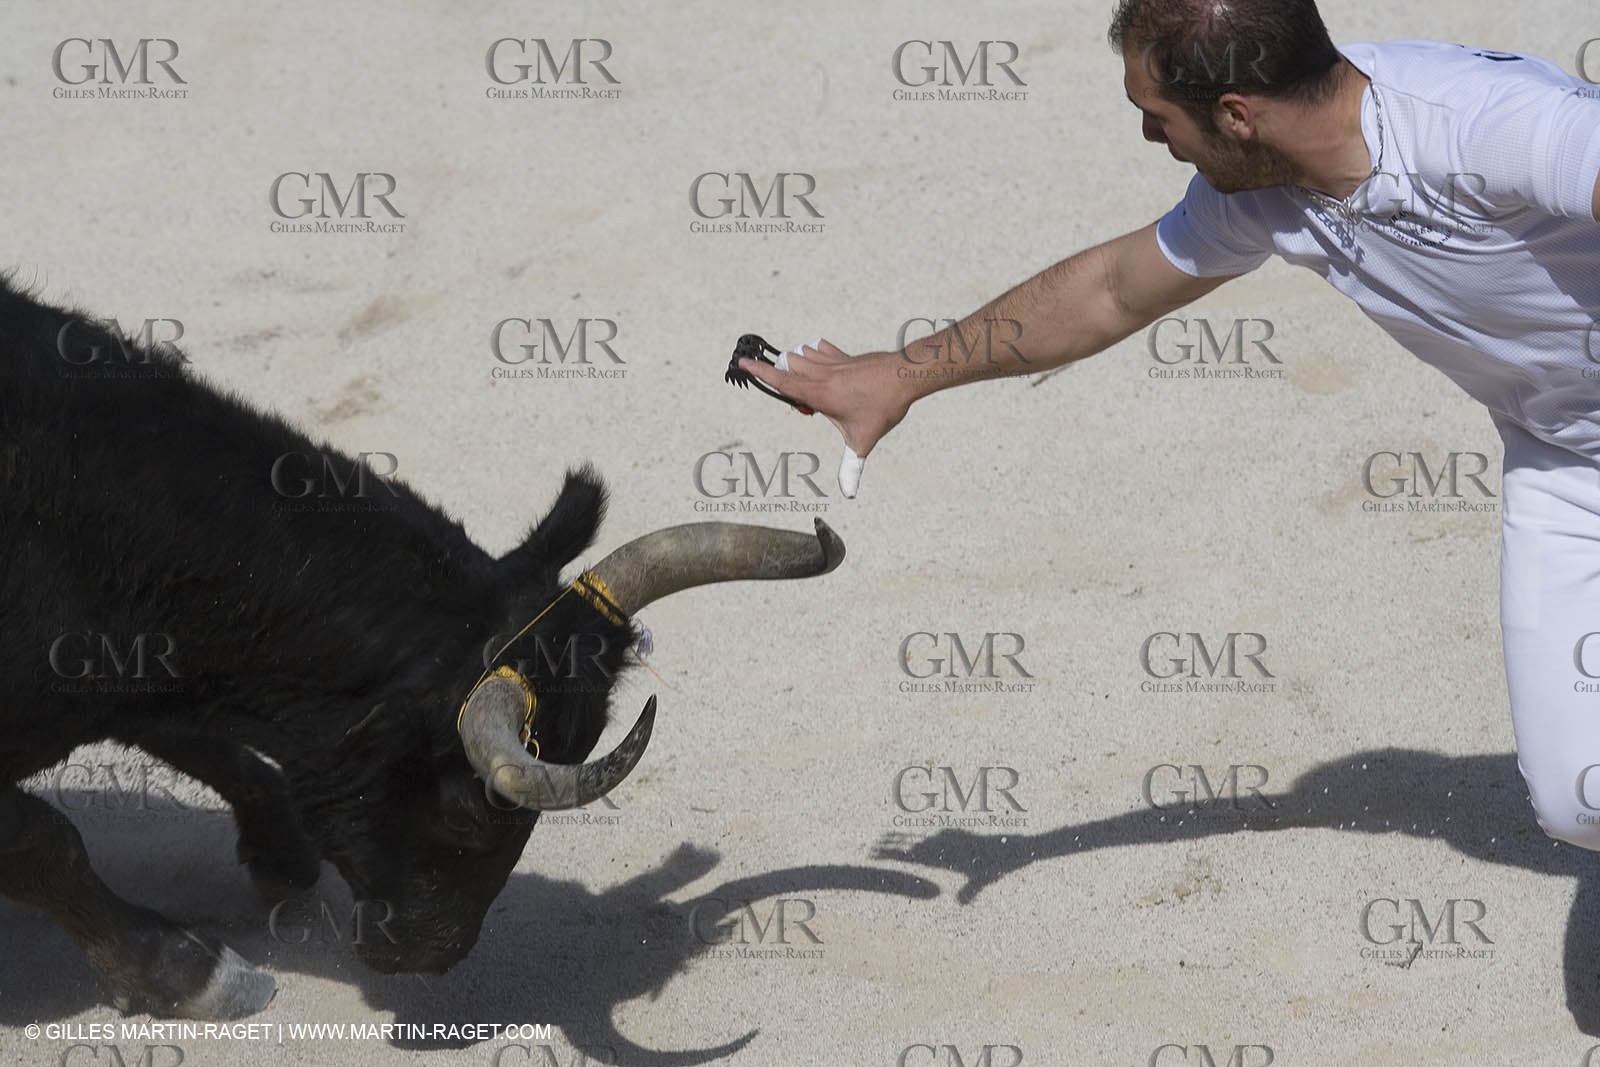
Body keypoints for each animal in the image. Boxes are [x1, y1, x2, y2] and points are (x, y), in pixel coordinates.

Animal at [0, 275, 845, 1020]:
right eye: (473, 812)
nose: (435, 955)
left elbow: (196, 735)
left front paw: (282, 855)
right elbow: (47, 839)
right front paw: (189, 972)